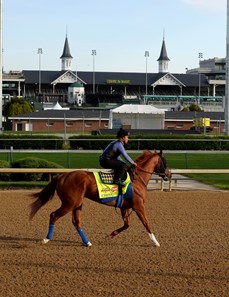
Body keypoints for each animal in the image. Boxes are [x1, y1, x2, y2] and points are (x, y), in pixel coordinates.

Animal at [29, 149, 171, 246]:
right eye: (165, 162)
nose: (169, 174)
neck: (137, 179)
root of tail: (62, 176)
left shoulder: (124, 207)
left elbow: (127, 225)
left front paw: (110, 235)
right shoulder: (138, 206)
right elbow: (146, 223)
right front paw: (155, 242)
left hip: (77, 204)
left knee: (76, 222)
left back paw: (87, 242)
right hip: (69, 203)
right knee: (54, 215)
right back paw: (46, 239)